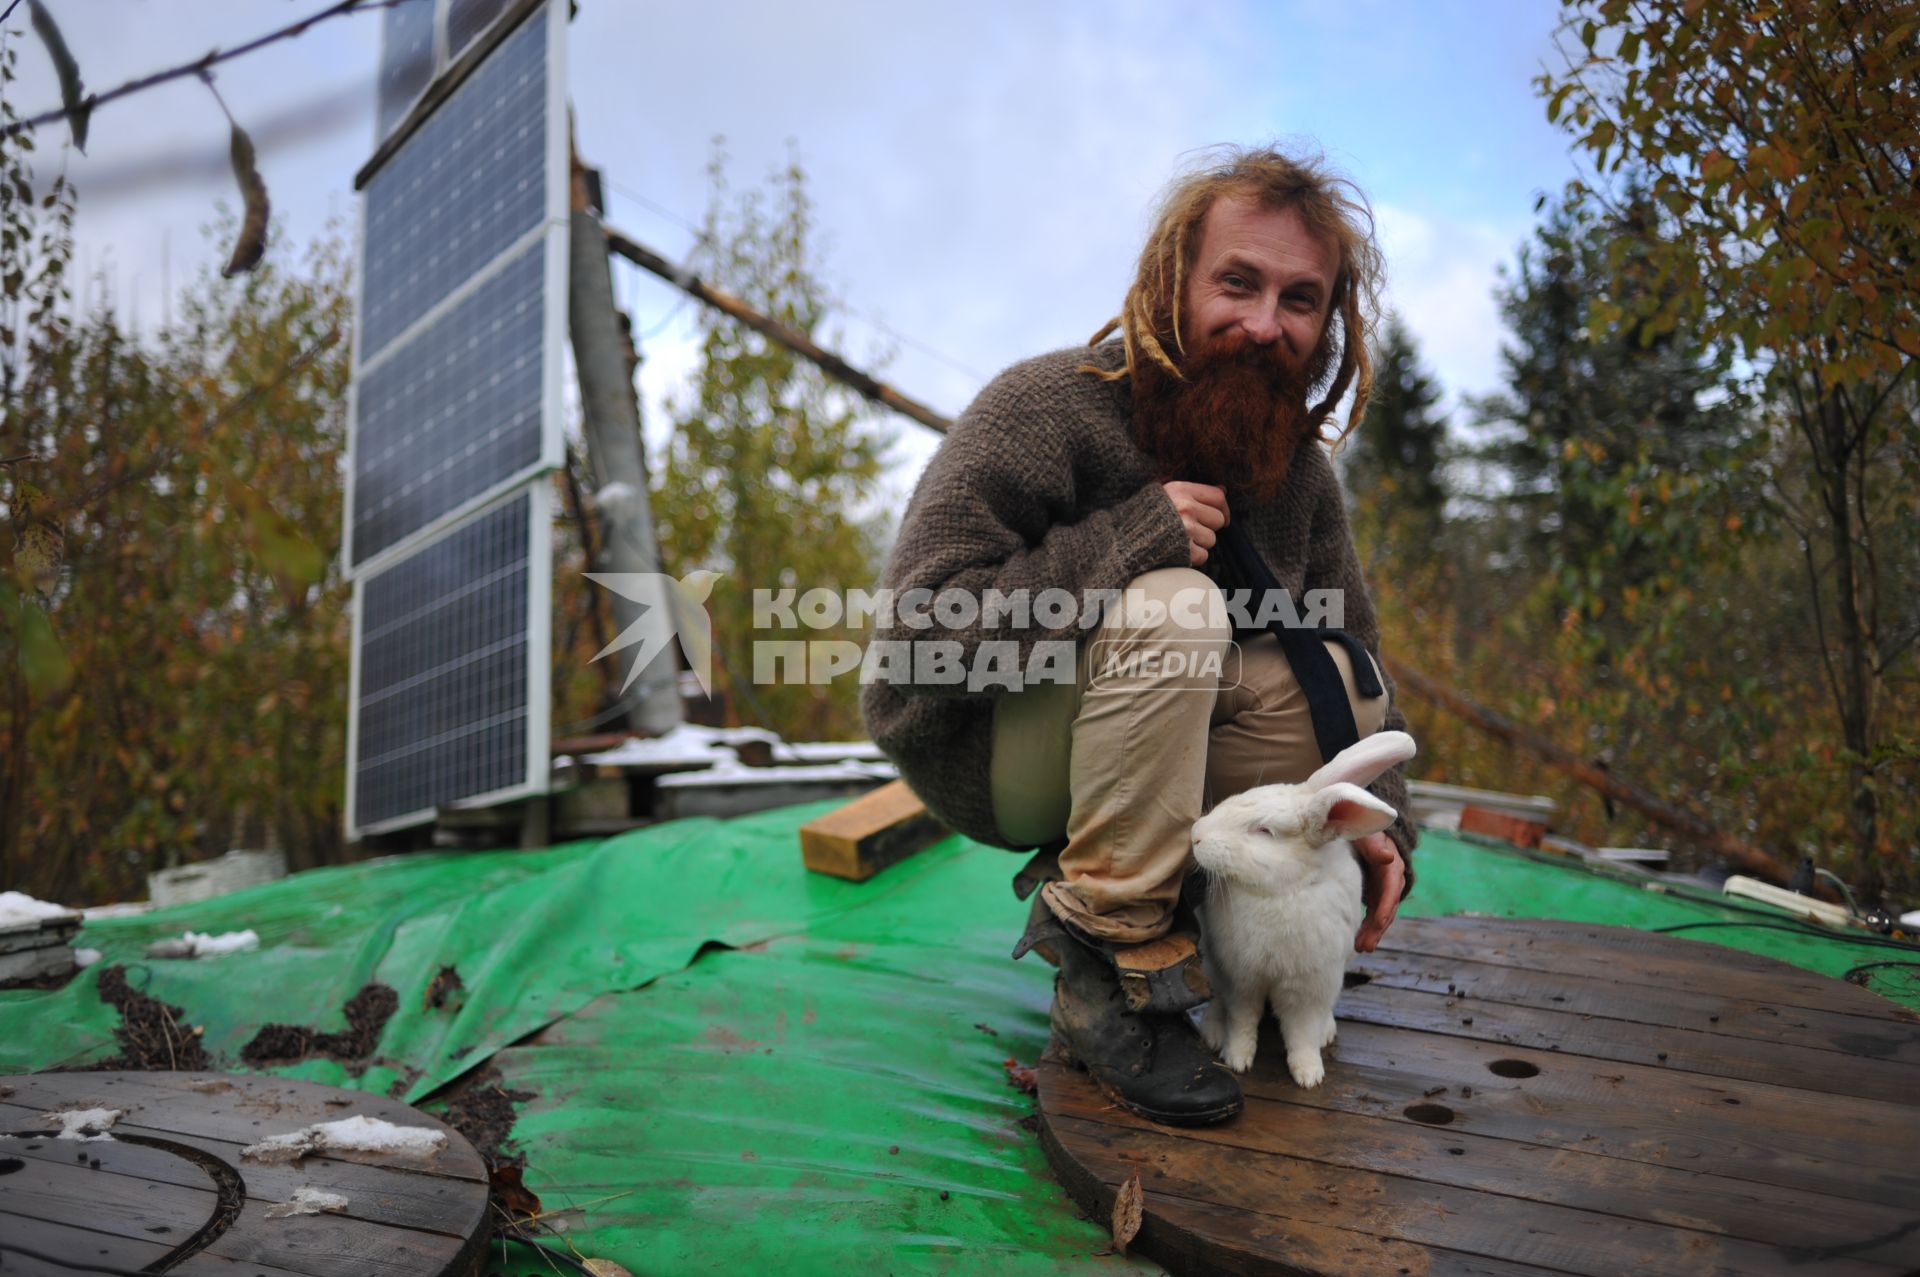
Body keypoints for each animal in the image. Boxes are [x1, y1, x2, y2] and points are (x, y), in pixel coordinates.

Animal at [1190, 725, 1420, 1083]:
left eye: (1264, 830)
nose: (1196, 835)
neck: (1281, 892)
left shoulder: (1309, 988)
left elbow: (1302, 1034)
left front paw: (1309, 1075)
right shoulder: (1241, 979)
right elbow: (1243, 1021)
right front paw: (1236, 1059)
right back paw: (1213, 1031)